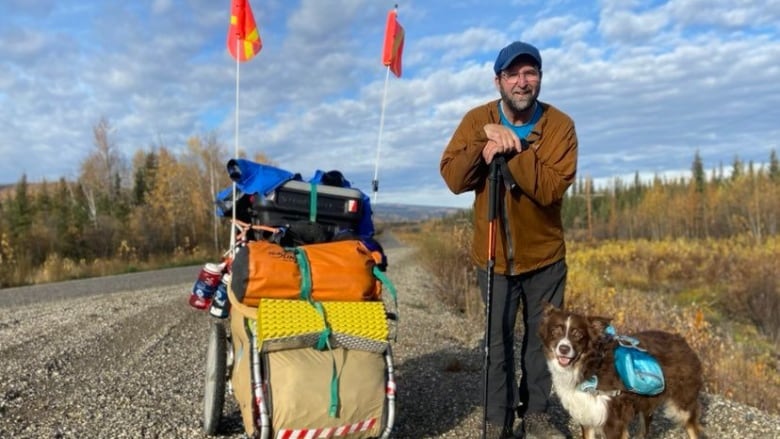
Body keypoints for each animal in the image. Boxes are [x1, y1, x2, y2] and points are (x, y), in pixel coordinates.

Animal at [540, 304, 704, 439]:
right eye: (555, 331)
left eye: (578, 334)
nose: (564, 348)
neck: (590, 365)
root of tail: (682, 340)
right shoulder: (587, 415)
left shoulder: (613, 420)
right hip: (647, 398)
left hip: (683, 404)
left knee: (693, 428)